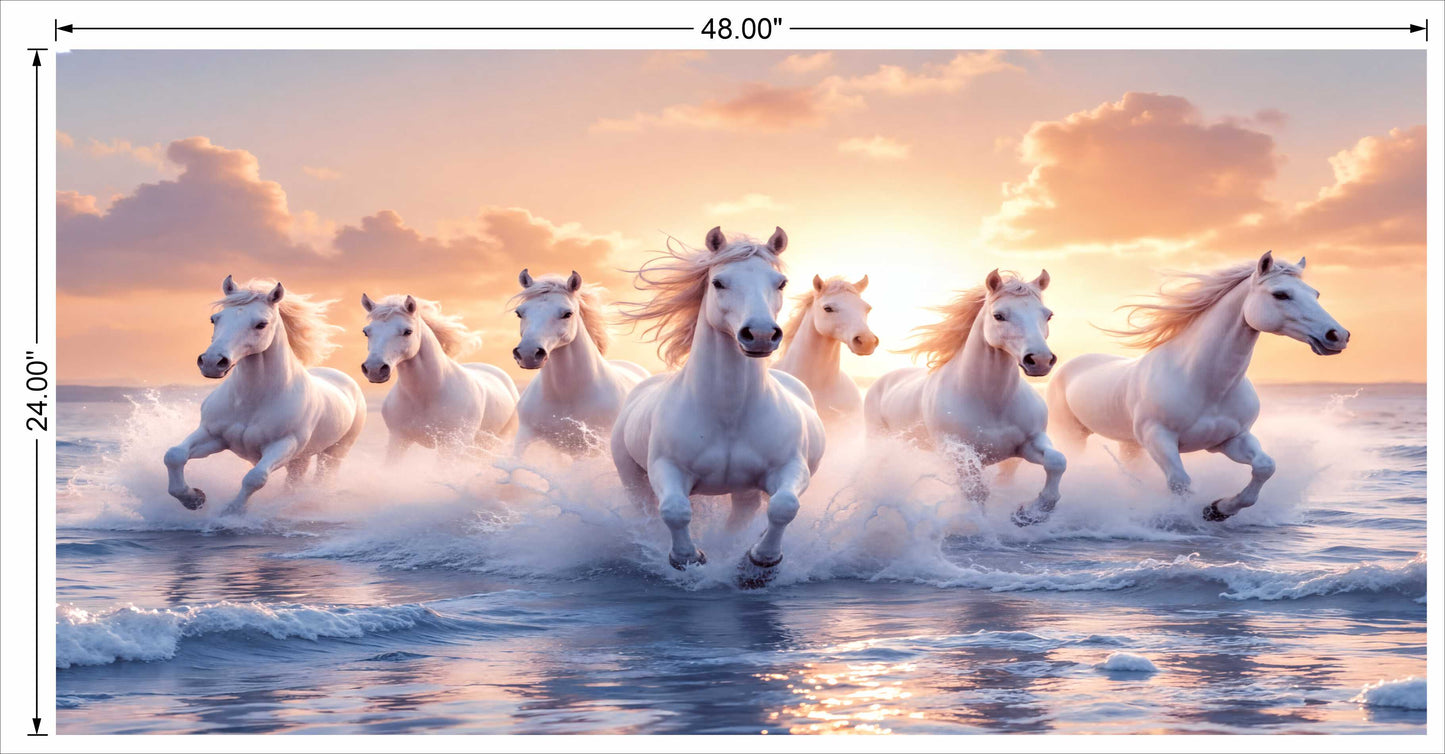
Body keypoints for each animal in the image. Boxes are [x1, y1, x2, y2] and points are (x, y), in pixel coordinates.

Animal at [165, 276, 366, 514]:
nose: (212, 362)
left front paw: (232, 512)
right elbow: (174, 455)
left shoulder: (283, 445)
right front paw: (193, 498)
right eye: (215, 319)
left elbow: (255, 478)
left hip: (333, 453)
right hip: (301, 458)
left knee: (322, 479)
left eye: (261, 324)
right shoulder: (212, 435)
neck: (253, 401)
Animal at [360, 293, 519, 459]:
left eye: (407, 331)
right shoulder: (398, 440)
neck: (426, 396)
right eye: (366, 331)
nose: (374, 369)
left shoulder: (450, 446)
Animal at [611, 226, 825, 585]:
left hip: (745, 492)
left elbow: (784, 506)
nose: (760, 335)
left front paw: (759, 563)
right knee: (648, 512)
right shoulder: (666, 468)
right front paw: (688, 559)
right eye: (718, 282)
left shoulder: (789, 468)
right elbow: (675, 510)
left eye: (780, 282)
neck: (728, 415)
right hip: (632, 479)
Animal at [864, 269, 1065, 526]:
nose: (1039, 360)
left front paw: (1028, 513)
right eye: (999, 315)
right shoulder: (959, 452)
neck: (991, 401)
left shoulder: (1029, 444)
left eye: (1048, 315)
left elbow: (1057, 462)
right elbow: (977, 492)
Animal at [1048, 251, 1349, 522]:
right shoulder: (1159, 437)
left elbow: (1265, 467)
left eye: (1315, 294)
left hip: (1130, 444)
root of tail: (1068, 366)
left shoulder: (1231, 439)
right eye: (1281, 294)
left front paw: (1217, 510)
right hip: (1073, 435)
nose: (1337, 335)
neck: (1205, 384)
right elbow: (1181, 483)